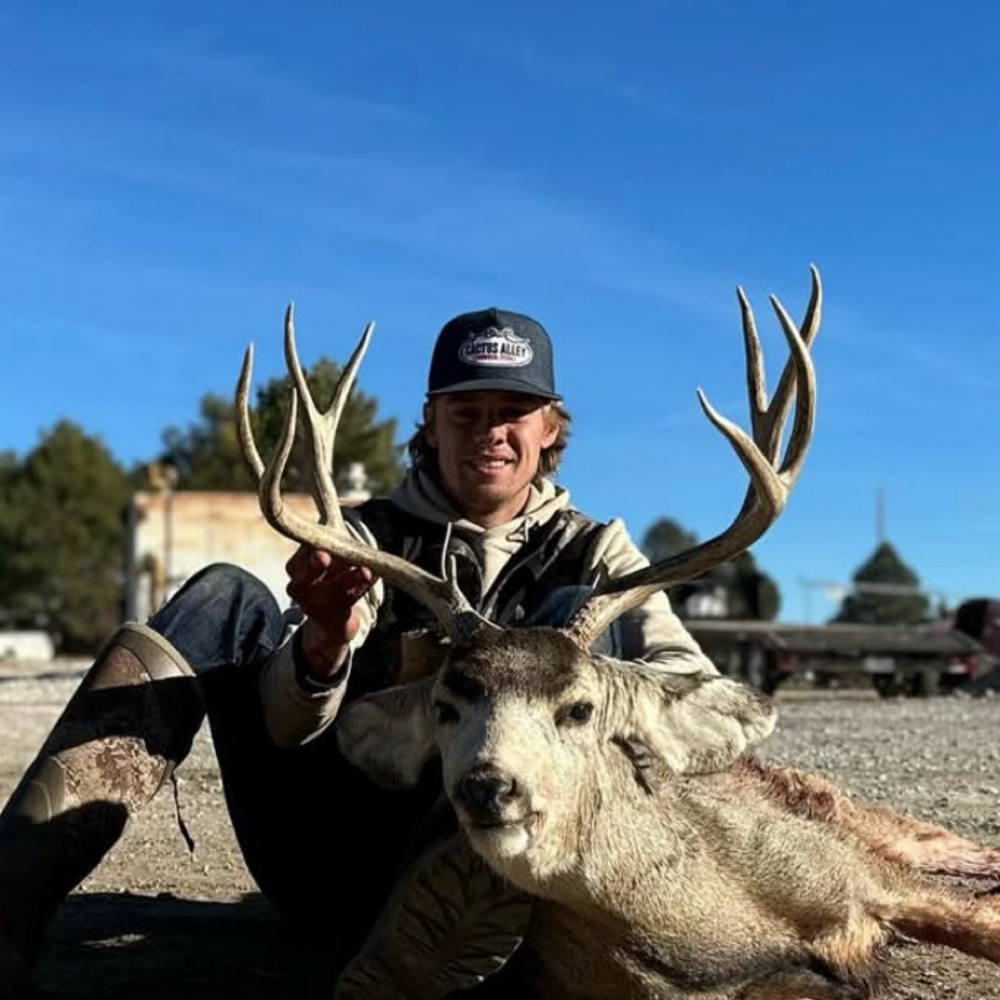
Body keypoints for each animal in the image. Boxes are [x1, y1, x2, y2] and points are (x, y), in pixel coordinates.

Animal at [236, 268, 1000, 999]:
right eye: (446, 707)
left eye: (580, 709)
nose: (488, 787)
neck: (719, 926)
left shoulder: (849, 871)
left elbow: (977, 918)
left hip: (835, 811)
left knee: (918, 835)